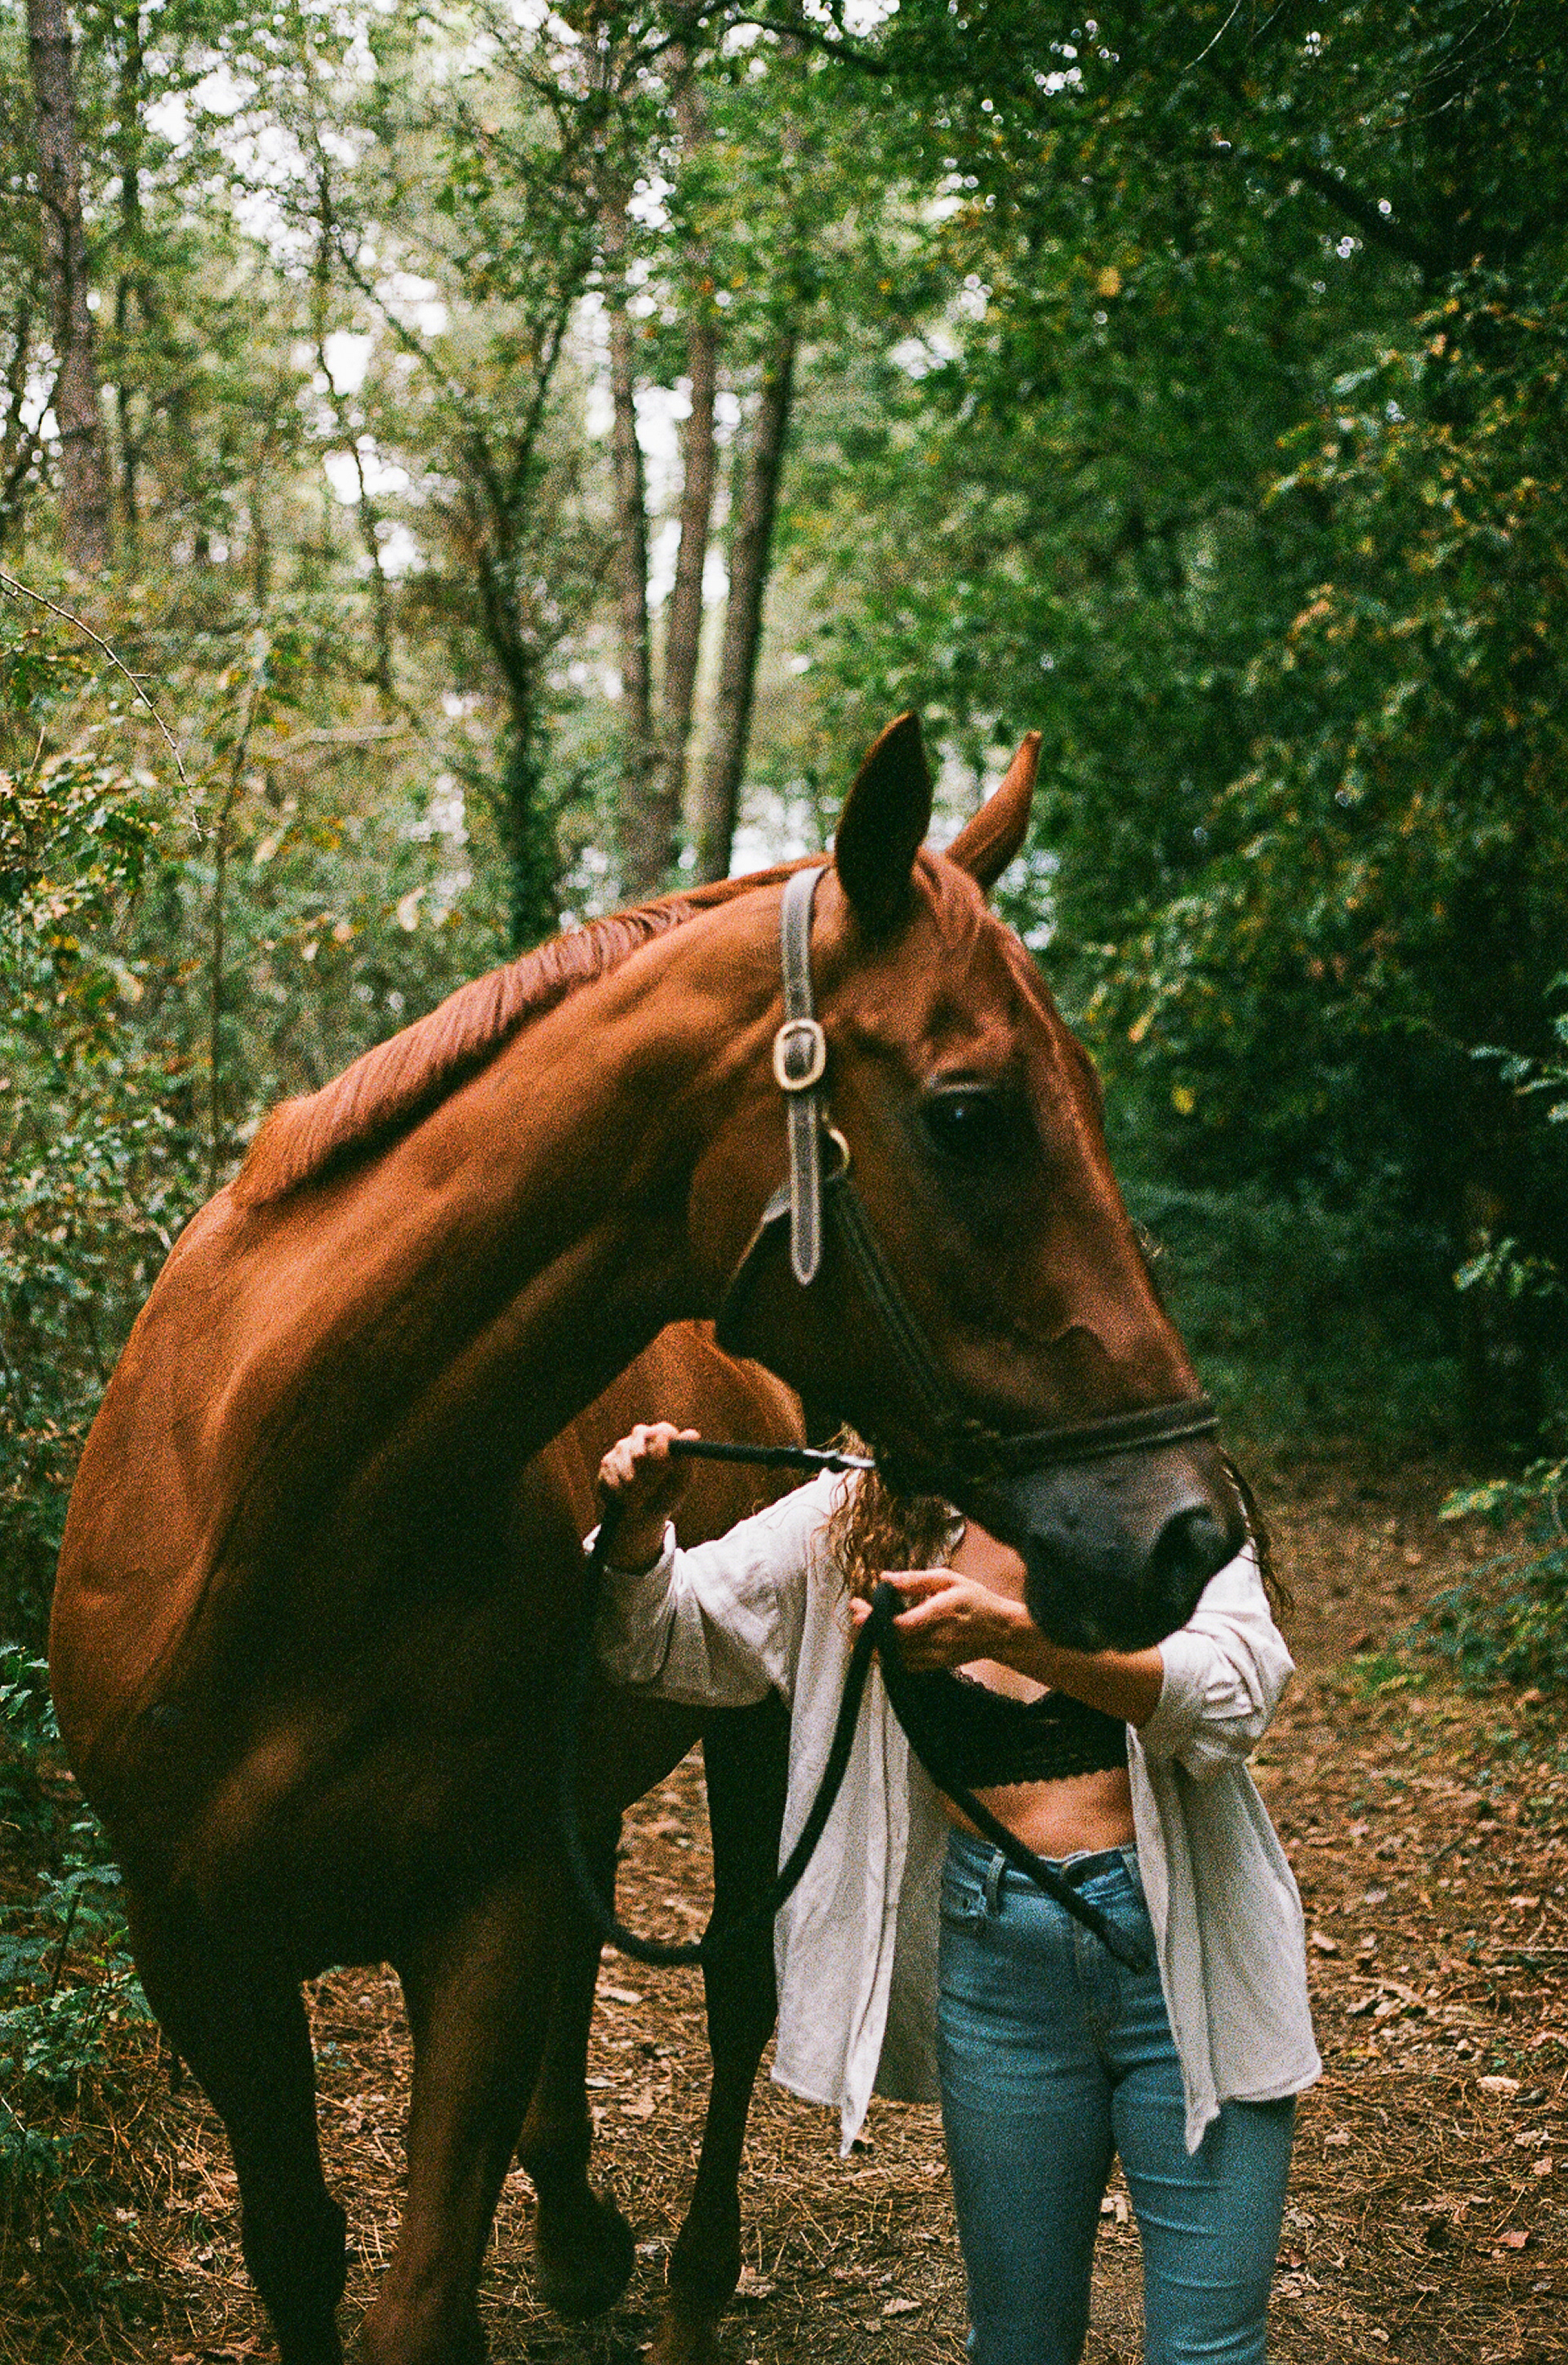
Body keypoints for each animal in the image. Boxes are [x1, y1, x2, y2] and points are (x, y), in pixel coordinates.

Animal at [50, 712, 1245, 2365]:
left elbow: (423, 2287)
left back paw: (675, 2272)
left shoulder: (478, 1906)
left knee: (734, 1989)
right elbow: (296, 2251)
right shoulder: (196, 1950)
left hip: (738, 1735)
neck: (290, 1528)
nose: (1189, 1527)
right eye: (970, 1115)